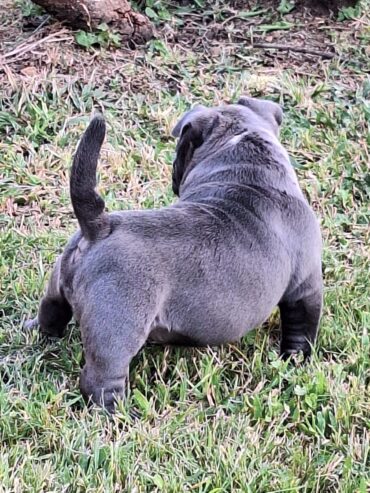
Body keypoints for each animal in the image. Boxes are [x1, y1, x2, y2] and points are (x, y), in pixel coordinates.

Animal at [28, 97, 324, 412]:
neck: (247, 161)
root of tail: (99, 227)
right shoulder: (305, 286)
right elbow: (302, 327)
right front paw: (297, 359)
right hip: (117, 330)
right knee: (101, 379)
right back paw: (118, 412)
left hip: (58, 287)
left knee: (51, 314)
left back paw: (37, 331)